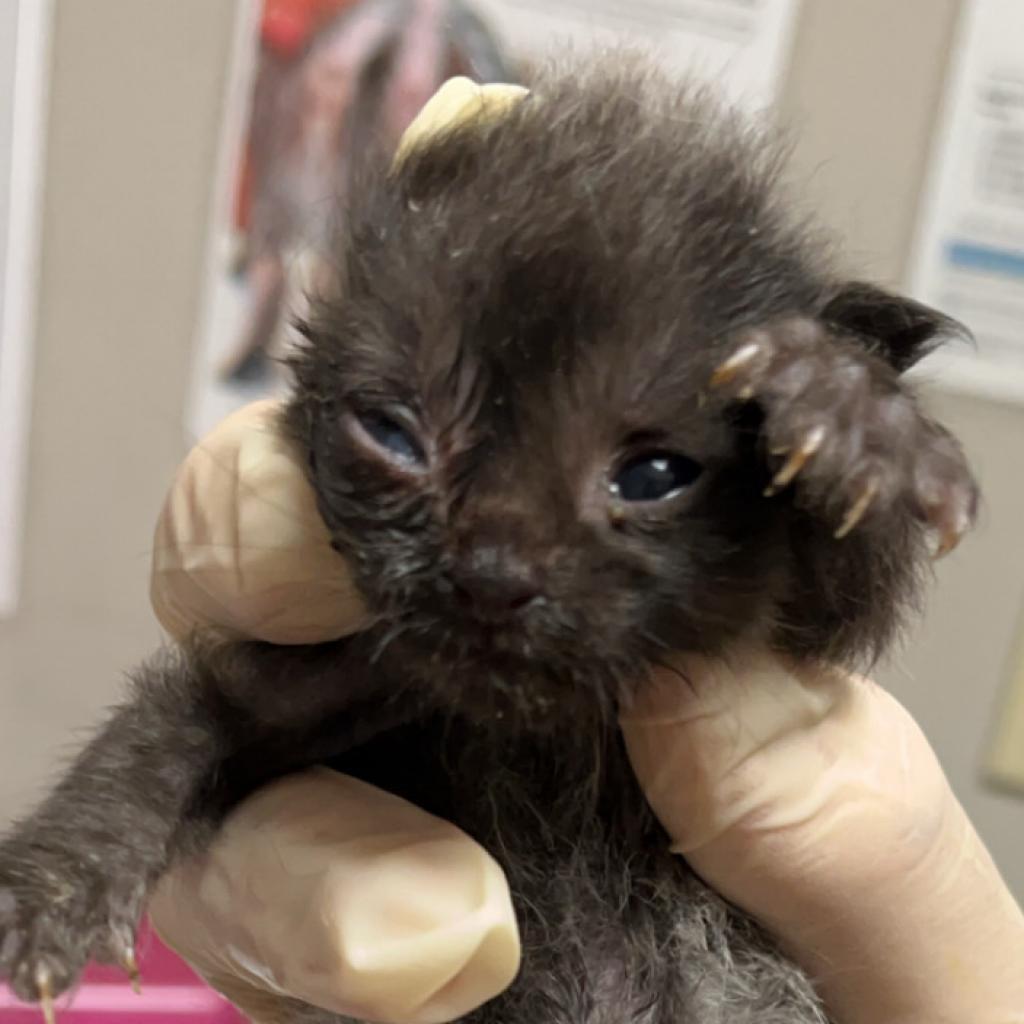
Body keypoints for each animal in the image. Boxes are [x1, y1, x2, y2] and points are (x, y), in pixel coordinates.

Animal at [0, 56, 974, 1024]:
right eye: (394, 436)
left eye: (653, 476)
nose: (492, 573)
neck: (545, 726)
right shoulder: (344, 679)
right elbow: (167, 731)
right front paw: (61, 884)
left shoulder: (808, 631)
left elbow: (859, 573)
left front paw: (851, 410)